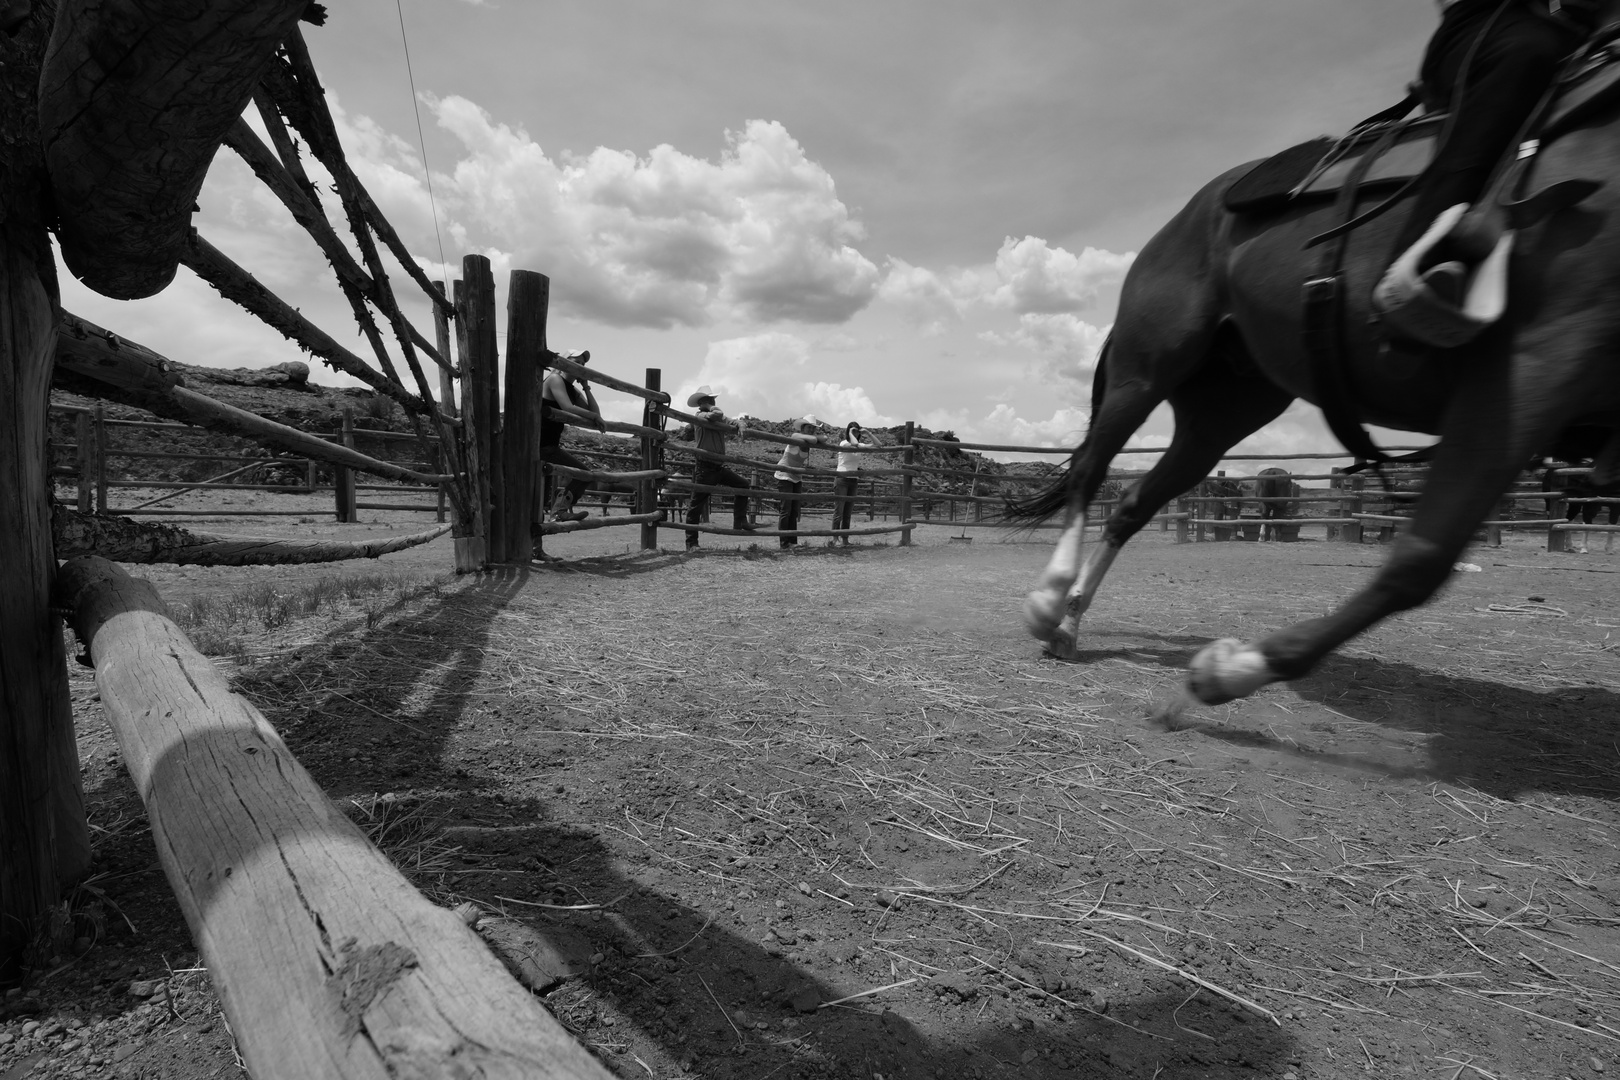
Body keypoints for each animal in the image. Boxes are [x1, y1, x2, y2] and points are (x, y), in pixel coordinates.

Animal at [1017, 16, 1620, 705]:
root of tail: (1191, 212)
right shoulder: (1534, 362)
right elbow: (1420, 559)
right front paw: (1236, 669)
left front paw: (1235, 666)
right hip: (1147, 367)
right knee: (1092, 468)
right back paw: (1050, 599)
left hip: (1224, 409)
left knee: (1133, 501)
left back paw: (1068, 624)